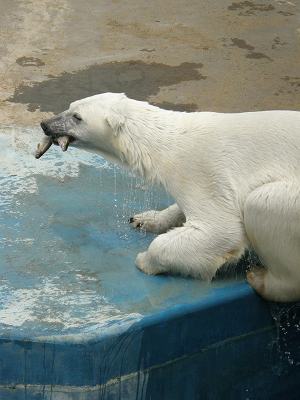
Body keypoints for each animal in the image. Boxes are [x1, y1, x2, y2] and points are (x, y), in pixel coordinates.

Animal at [38, 92, 300, 302]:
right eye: (70, 105)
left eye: (77, 117)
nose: (45, 124)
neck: (168, 144)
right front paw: (145, 219)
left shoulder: (203, 170)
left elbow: (221, 230)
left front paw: (145, 260)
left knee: (261, 202)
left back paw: (260, 278)